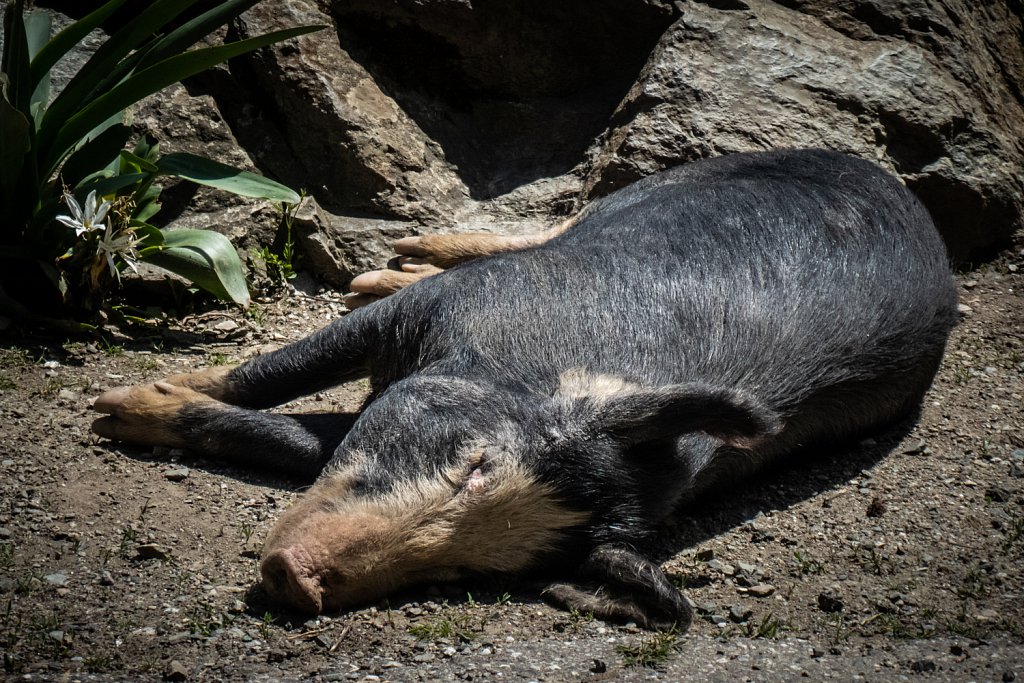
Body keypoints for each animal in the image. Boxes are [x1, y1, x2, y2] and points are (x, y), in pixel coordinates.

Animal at [94, 149, 958, 630]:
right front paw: (112, 408)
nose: (295, 577)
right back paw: (389, 262)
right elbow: (278, 368)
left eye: (467, 569)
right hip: (660, 188)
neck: (531, 364)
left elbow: (298, 439)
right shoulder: (448, 311)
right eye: (472, 464)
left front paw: (119, 410)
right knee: (550, 223)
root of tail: (908, 195)